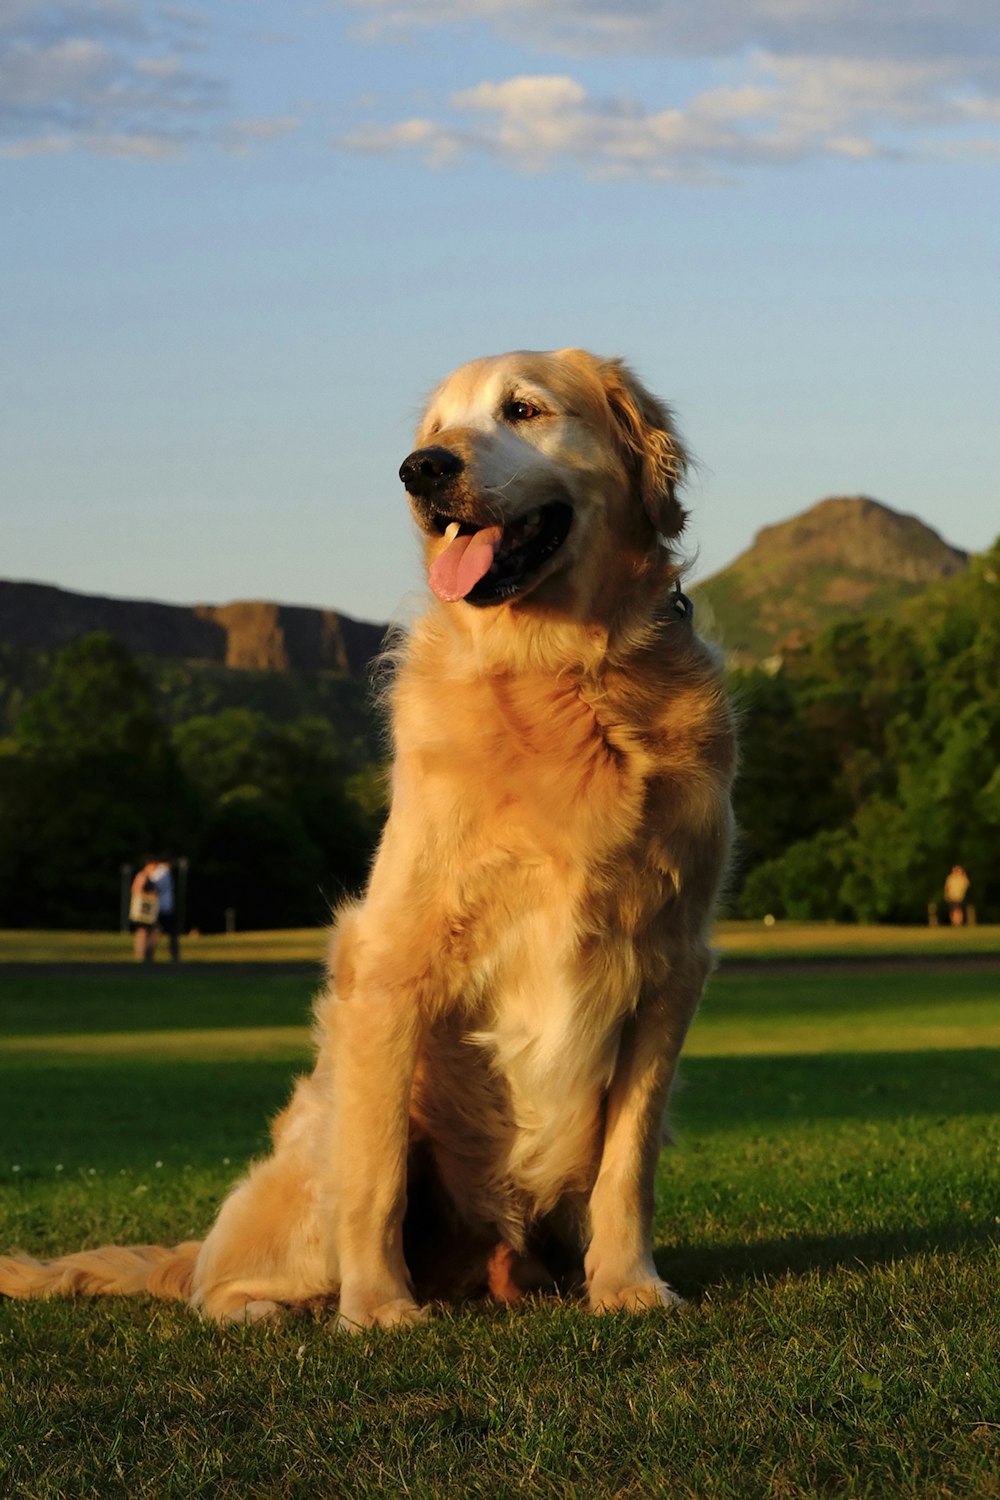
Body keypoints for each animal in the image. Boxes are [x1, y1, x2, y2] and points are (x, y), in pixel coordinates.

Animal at [0, 348, 734, 1326]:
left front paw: (628, 1284)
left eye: (524, 409)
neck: (557, 675)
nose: (422, 470)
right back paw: (278, 1307)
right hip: (314, 1150)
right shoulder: (393, 957)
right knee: (221, 1276)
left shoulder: (672, 961)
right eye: (434, 431)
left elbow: (630, 1159)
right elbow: (378, 1173)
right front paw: (380, 1310)